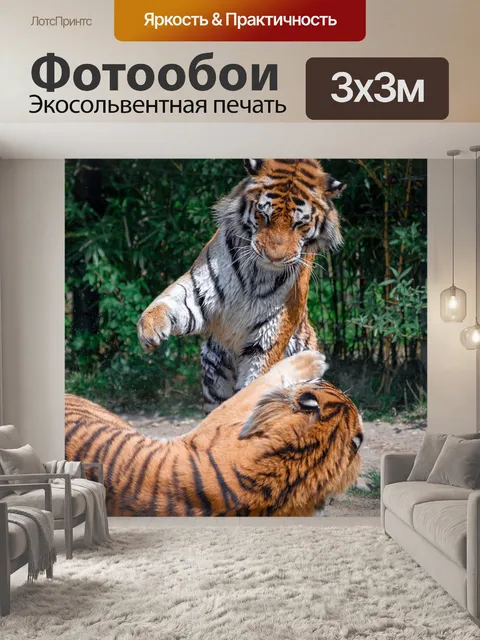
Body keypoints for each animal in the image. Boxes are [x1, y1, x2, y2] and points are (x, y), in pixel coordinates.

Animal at [137, 159, 345, 413]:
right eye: (263, 215)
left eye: (300, 225)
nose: (274, 258)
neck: (258, 272)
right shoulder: (201, 291)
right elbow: (172, 301)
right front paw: (149, 329)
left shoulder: (270, 333)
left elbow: (255, 383)